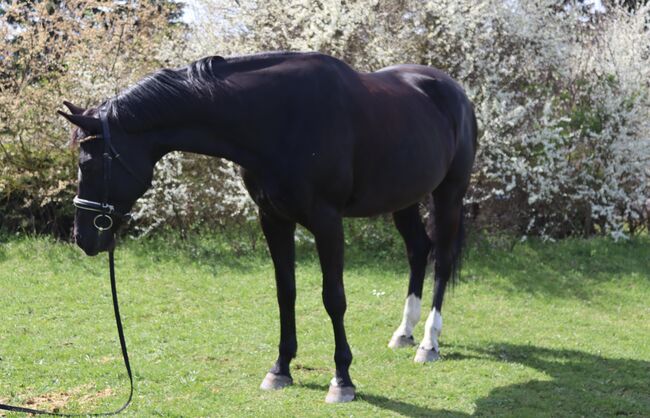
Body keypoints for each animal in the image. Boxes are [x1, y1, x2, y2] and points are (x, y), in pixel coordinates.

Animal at [59, 50, 476, 404]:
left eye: (87, 164)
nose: (84, 238)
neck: (277, 118)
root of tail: (454, 91)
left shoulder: (327, 221)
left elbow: (334, 298)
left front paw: (342, 380)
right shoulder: (273, 219)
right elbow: (285, 293)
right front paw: (280, 370)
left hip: (448, 194)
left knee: (441, 260)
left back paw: (428, 343)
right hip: (403, 199)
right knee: (418, 250)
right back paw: (404, 333)